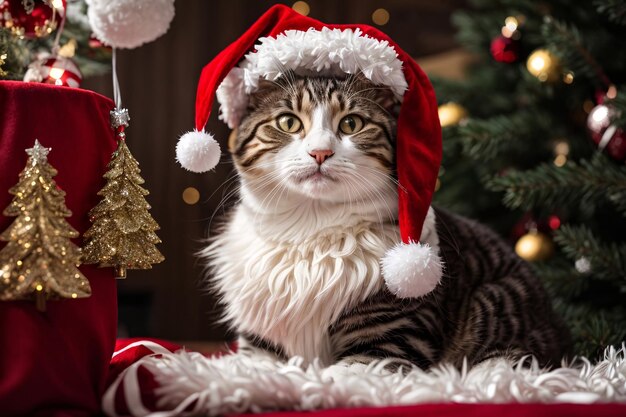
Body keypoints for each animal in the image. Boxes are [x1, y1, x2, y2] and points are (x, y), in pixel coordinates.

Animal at [201, 73, 572, 368]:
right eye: (289, 122)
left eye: (351, 124)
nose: (320, 152)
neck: (310, 227)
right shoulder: (261, 339)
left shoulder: (391, 335)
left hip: (495, 306)